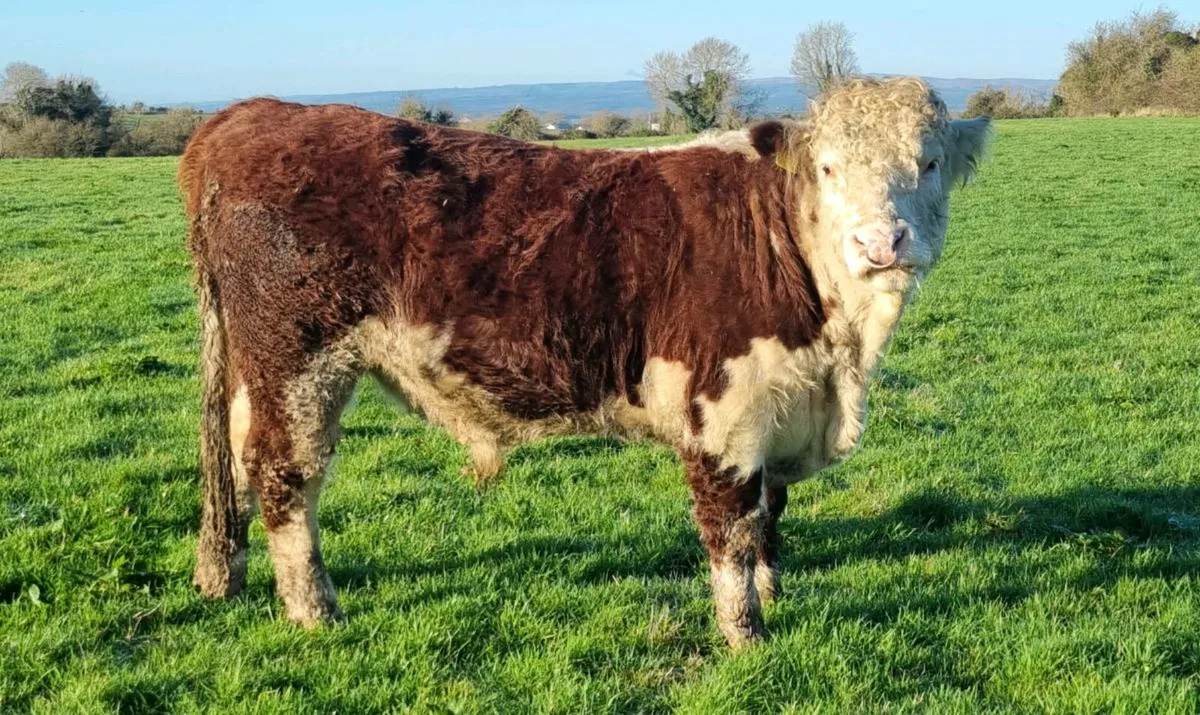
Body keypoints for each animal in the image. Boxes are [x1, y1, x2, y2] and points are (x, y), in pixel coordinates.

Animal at [180, 77, 990, 648]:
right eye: (827, 167)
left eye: (928, 162)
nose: (881, 242)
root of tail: (244, 117)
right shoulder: (724, 412)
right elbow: (730, 526)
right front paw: (746, 635)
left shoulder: (780, 406)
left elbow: (767, 516)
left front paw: (773, 595)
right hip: (298, 355)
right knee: (286, 474)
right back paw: (315, 610)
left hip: (259, 368)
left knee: (241, 461)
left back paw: (233, 576)